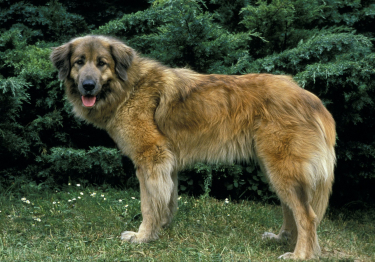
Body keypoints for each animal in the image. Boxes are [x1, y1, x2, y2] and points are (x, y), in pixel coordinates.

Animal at [50, 35, 338, 260]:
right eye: (79, 62)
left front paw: (142, 236)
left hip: (282, 168)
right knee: (292, 209)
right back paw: (282, 239)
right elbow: (167, 198)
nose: (88, 86)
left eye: (102, 63)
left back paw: (300, 254)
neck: (129, 87)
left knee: (307, 215)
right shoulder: (167, 163)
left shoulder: (151, 158)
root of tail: (311, 99)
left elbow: (148, 203)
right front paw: (161, 228)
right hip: (273, 168)